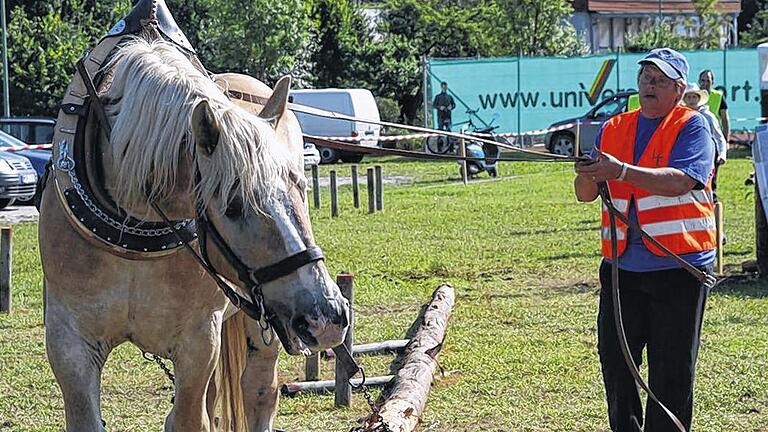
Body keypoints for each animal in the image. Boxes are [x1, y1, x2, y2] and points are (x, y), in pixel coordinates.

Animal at [39, 38, 352, 432]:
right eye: (232, 205)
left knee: (259, 391)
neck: (132, 231)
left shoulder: (197, 342)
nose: (327, 316)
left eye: (301, 187)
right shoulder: (70, 343)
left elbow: (190, 417)